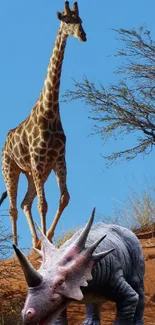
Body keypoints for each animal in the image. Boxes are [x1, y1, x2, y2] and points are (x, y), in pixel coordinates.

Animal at [0, 1, 86, 247]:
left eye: (80, 20)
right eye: (67, 21)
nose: (83, 36)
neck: (50, 111)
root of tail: (5, 143)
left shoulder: (57, 159)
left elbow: (64, 197)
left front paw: (47, 237)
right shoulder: (38, 161)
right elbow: (43, 204)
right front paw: (46, 239)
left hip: (33, 172)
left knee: (25, 203)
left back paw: (36, 242)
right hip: (11, 168)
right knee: (13, 207)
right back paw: (17, 246)